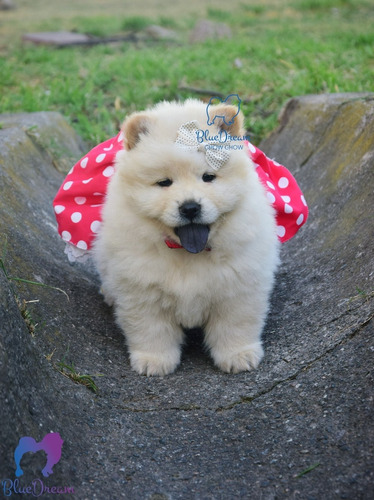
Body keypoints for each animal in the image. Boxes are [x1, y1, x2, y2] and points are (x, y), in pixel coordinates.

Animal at [92, 99, 280, 376]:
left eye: (208, 177)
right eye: (164, 182)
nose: (190, 207)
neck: (188, 254)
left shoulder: (239, 288)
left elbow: (236, 325)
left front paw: (239, 356)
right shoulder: (142, 291)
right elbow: (151, 330)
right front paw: (153, 362)